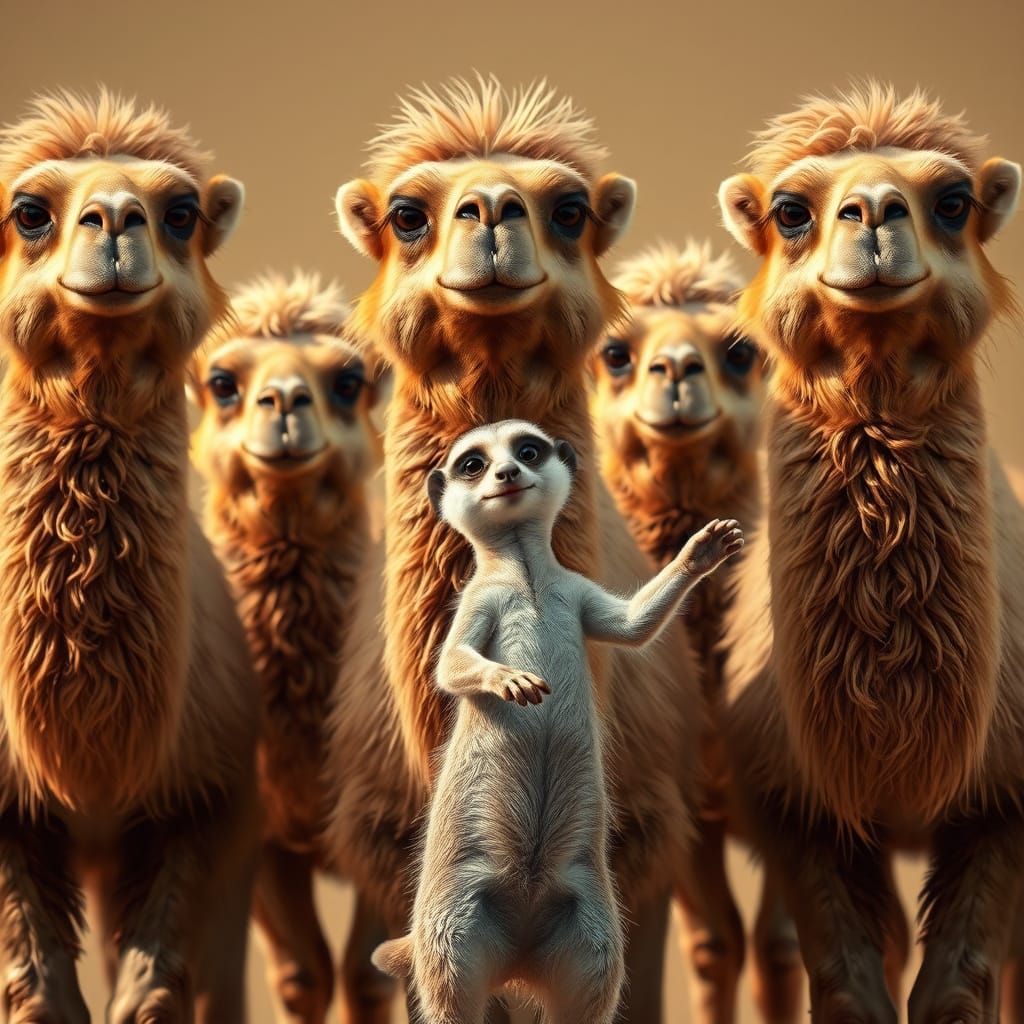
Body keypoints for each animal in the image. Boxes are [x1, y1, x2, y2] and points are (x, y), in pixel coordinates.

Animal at [0, 90, 259, 1022]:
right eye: (29, 211)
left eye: (179, 212)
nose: (115, 219)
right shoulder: (9, 813)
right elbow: (38, 986)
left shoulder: (202, 804)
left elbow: (153, 987)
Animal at [190, 270, 392, 1023]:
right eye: (222, 382)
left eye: (348, 380)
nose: (283, 402)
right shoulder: (266, 834)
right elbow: (303, 974)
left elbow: (369, 973)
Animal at [717, 82, 1024, 1023]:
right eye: (790, 210)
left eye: (953, 201)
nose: (877, 211)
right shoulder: (798, 806)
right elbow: (852, 984)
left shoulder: (1005, 798)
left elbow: (956, 986)